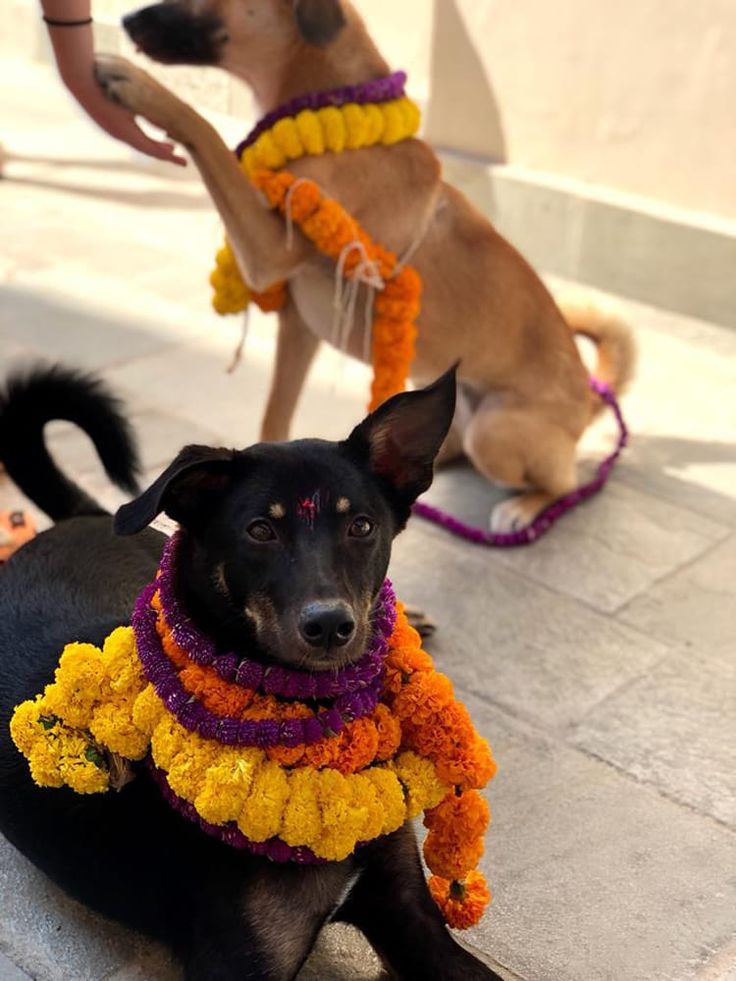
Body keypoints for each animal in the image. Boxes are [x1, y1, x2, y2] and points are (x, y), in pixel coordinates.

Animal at [0, 366, 500, 980]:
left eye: (362, 526)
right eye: (261, 531)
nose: (331, 625)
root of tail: (76, 520)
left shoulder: (410, 913)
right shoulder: (241, 961)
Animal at [96, 0, 640, 532]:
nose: (125, 20)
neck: (330, 102)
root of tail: (588, 395)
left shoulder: (269, 250)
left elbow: (205, 130)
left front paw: (136, 85)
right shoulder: (297, 327)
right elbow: (274, 421)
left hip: (496, 431)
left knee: (564, 483)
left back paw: (522, 506)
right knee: (445, 446)